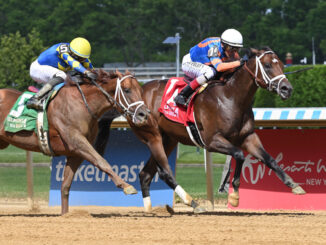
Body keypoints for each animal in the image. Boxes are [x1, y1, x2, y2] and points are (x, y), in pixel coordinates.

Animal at [0, 69, 150, 214]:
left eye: (140, 90)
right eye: (127, 89)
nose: (144, 114)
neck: (82, 103)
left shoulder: (75, 152)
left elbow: (66, 185)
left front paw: (65, 215)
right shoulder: (77, 141)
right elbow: (101, 161)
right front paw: (126, 186)